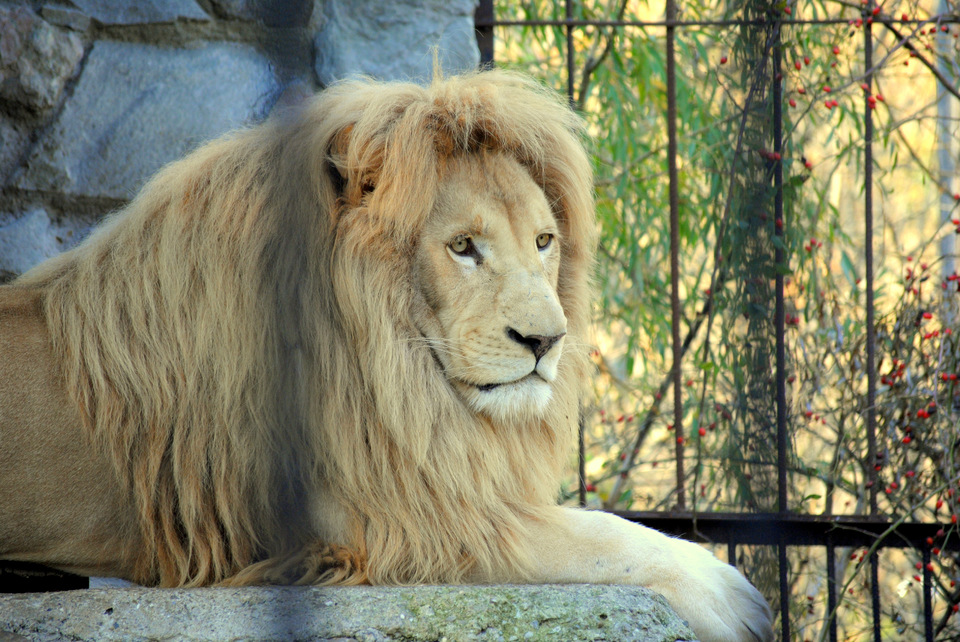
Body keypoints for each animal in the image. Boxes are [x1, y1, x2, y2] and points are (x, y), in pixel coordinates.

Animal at [0, 71, 768, 640]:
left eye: (545, 241)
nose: (547, 341)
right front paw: (732, 598)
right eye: (463, 247)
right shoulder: (392, 520)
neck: (392, 367)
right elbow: (591, 535)